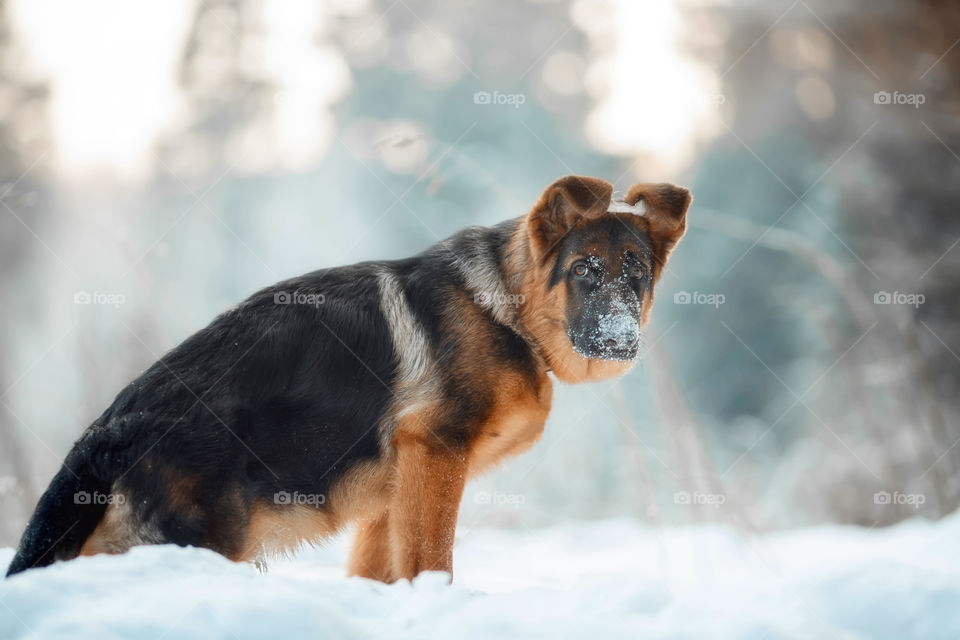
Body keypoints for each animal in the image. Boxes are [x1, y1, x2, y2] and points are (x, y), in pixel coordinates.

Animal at [3, 174, 688, 580]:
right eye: (584, 271)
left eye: (635, 272)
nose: (620, 339)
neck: (504, 307)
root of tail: (106, 431)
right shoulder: (435, 455)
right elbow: (432, 562)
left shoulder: (393, 493)